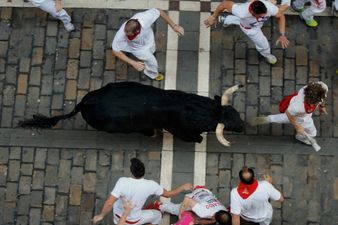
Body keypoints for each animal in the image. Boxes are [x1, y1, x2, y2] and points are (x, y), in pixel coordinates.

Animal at [18, 82, 244, 146]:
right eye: (231, 123)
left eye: (237, 113)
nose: (243, 127)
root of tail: (86, 101)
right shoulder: (181, 131)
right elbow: (192, 137)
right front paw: (200, 139)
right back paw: (151, 133)